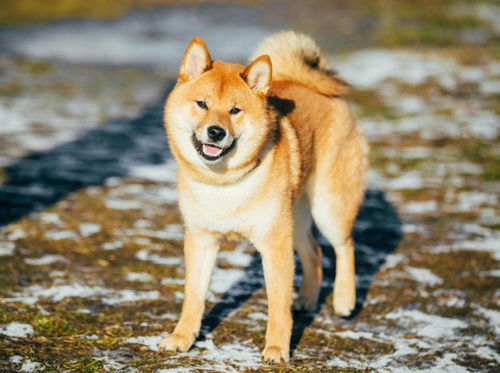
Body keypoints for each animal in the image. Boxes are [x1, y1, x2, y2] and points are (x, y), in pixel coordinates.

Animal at [160, 30, 368, 362]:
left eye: (235, 110)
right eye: (202, 104)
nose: (216, 132)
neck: (223, 181)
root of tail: (314, 87)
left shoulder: (274, 245)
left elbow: (277, 306)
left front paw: (276, 348)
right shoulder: (202, 239)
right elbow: (194, 295)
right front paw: (182, 337)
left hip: (328, 207)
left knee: (343, 245)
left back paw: (344, 300)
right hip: (295, 218)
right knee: (314, 251)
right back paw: (307, 298)